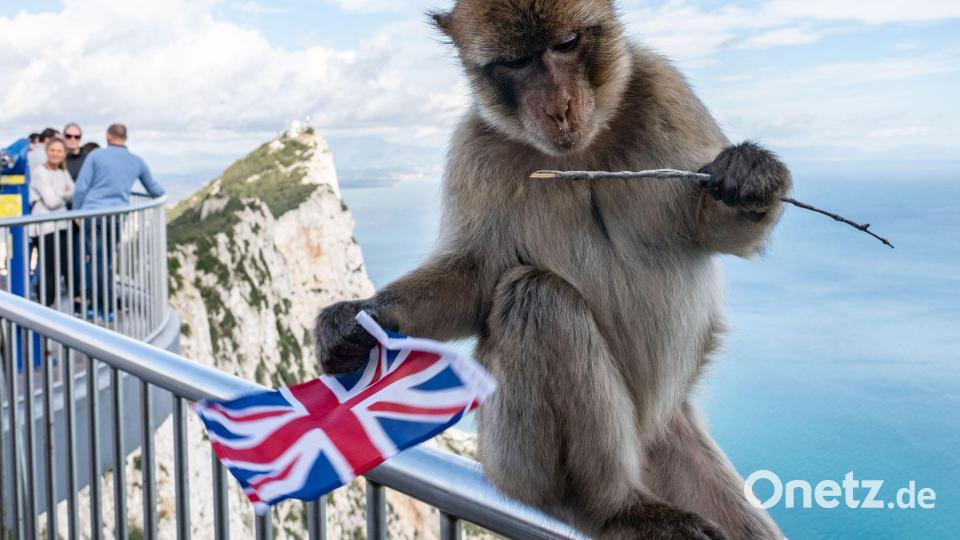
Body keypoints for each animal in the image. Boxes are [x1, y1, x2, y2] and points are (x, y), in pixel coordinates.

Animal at [314, 1, 790, 538]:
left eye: (565, 45)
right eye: (518, 62)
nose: (558, 106)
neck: (581, 150)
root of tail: (650, 432)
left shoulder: (664, 89)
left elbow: (714, 231)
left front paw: (750, 177)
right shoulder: (475, 148)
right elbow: (475, 278)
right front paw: (354, 319)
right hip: (511, 459)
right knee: (536, 297)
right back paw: (614, 506)